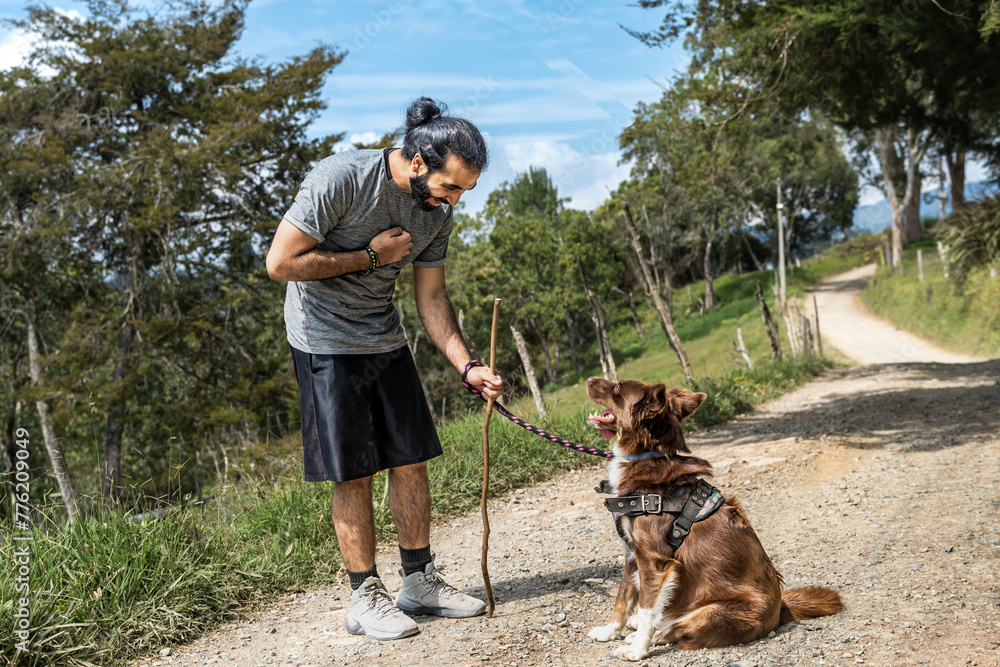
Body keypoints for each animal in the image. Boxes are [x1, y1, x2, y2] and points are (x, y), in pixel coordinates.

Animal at [584, 376, 840, 664]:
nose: (589, 379)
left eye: (617, 388)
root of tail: (780, 608)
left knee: (677, 629)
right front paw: (609, 631)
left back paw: (648, 635)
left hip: (713, 612)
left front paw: (638, 649)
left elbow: (648, 607)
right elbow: (623, 597)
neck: (647, 458)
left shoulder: (654, 560)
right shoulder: (632, 555)